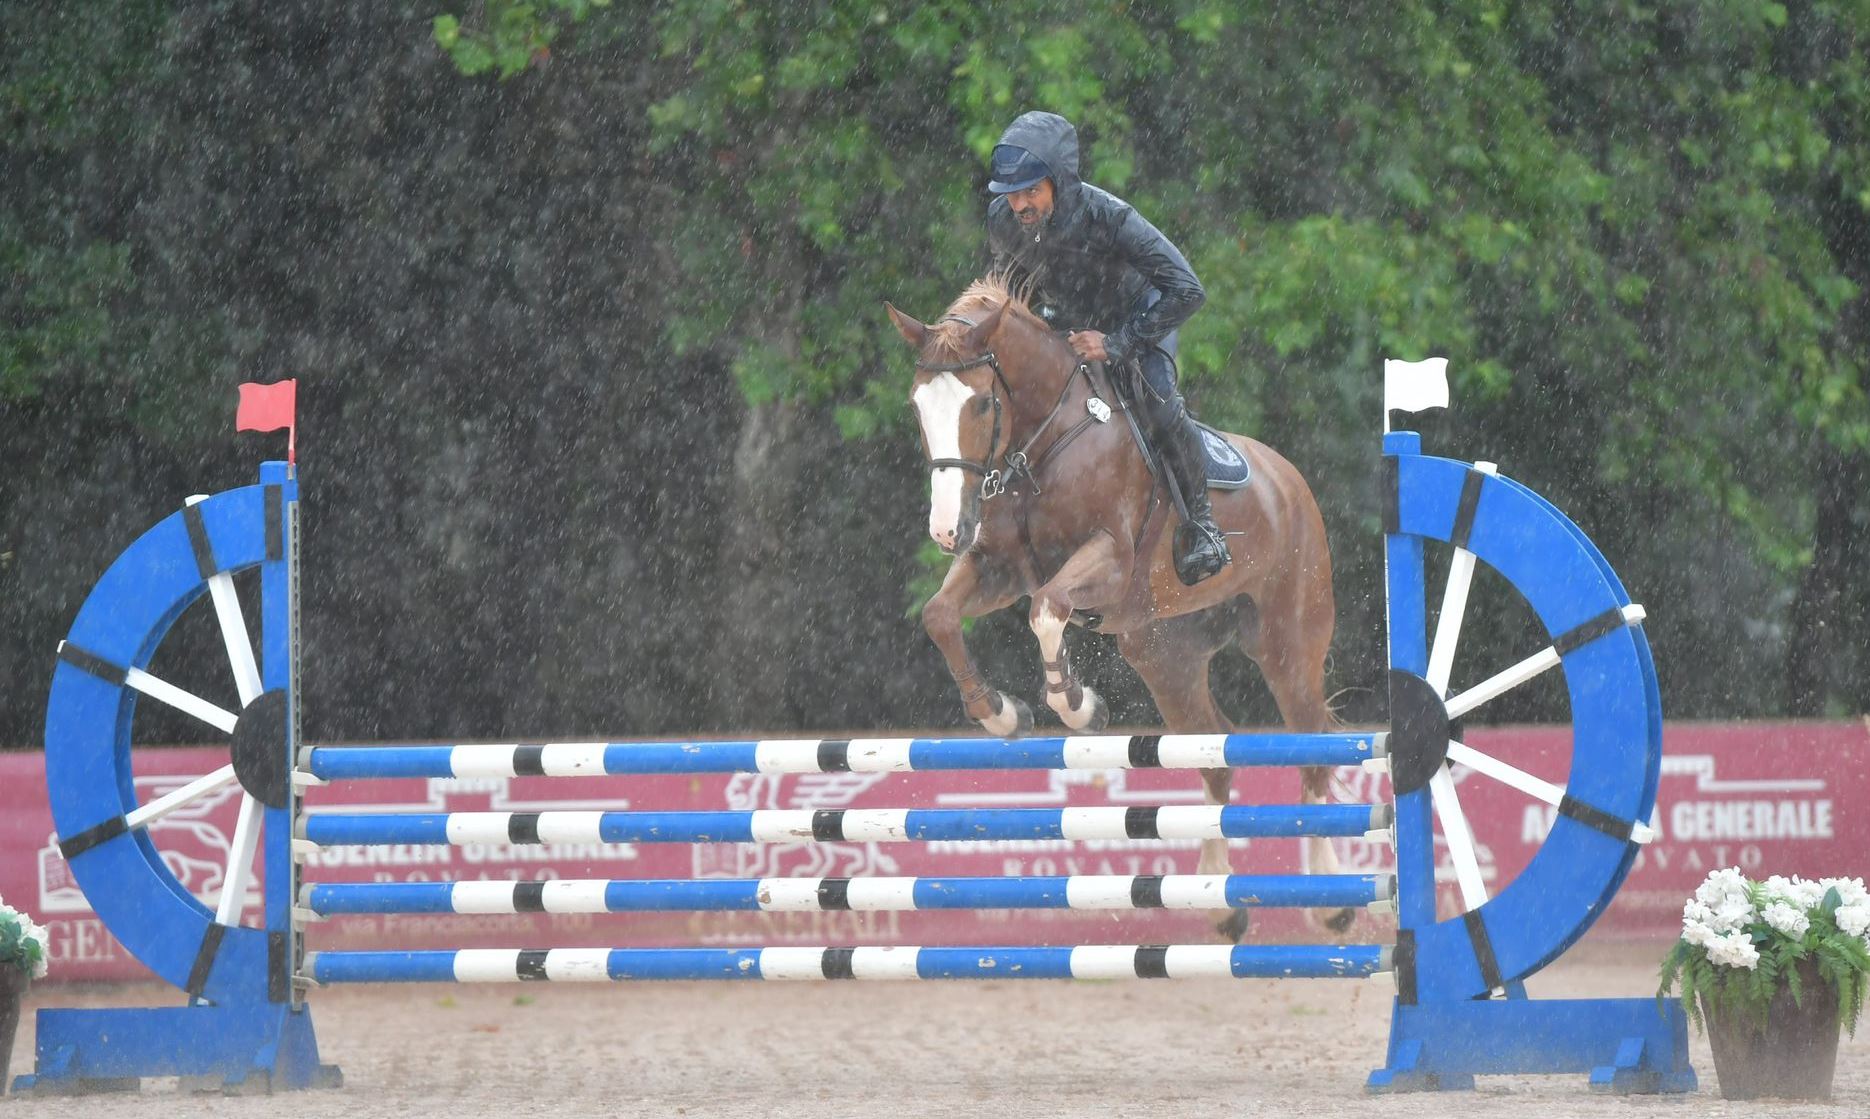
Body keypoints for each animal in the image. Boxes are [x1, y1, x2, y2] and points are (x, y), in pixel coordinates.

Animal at [886, 275, 1353, 937]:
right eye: (917, 406)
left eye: (980, 405)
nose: (948, 531)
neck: (1043, 440)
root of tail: (1288, 480)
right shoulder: (998, 566)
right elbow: (941, 616)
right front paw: (1000, 713)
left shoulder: (1109, 561)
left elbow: (1046, 610)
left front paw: (1076, 704)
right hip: (1165, 656)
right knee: (1215, 757)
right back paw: (1219, 902)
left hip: (1288, 641)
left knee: (1312, 746)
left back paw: (1332, 900)